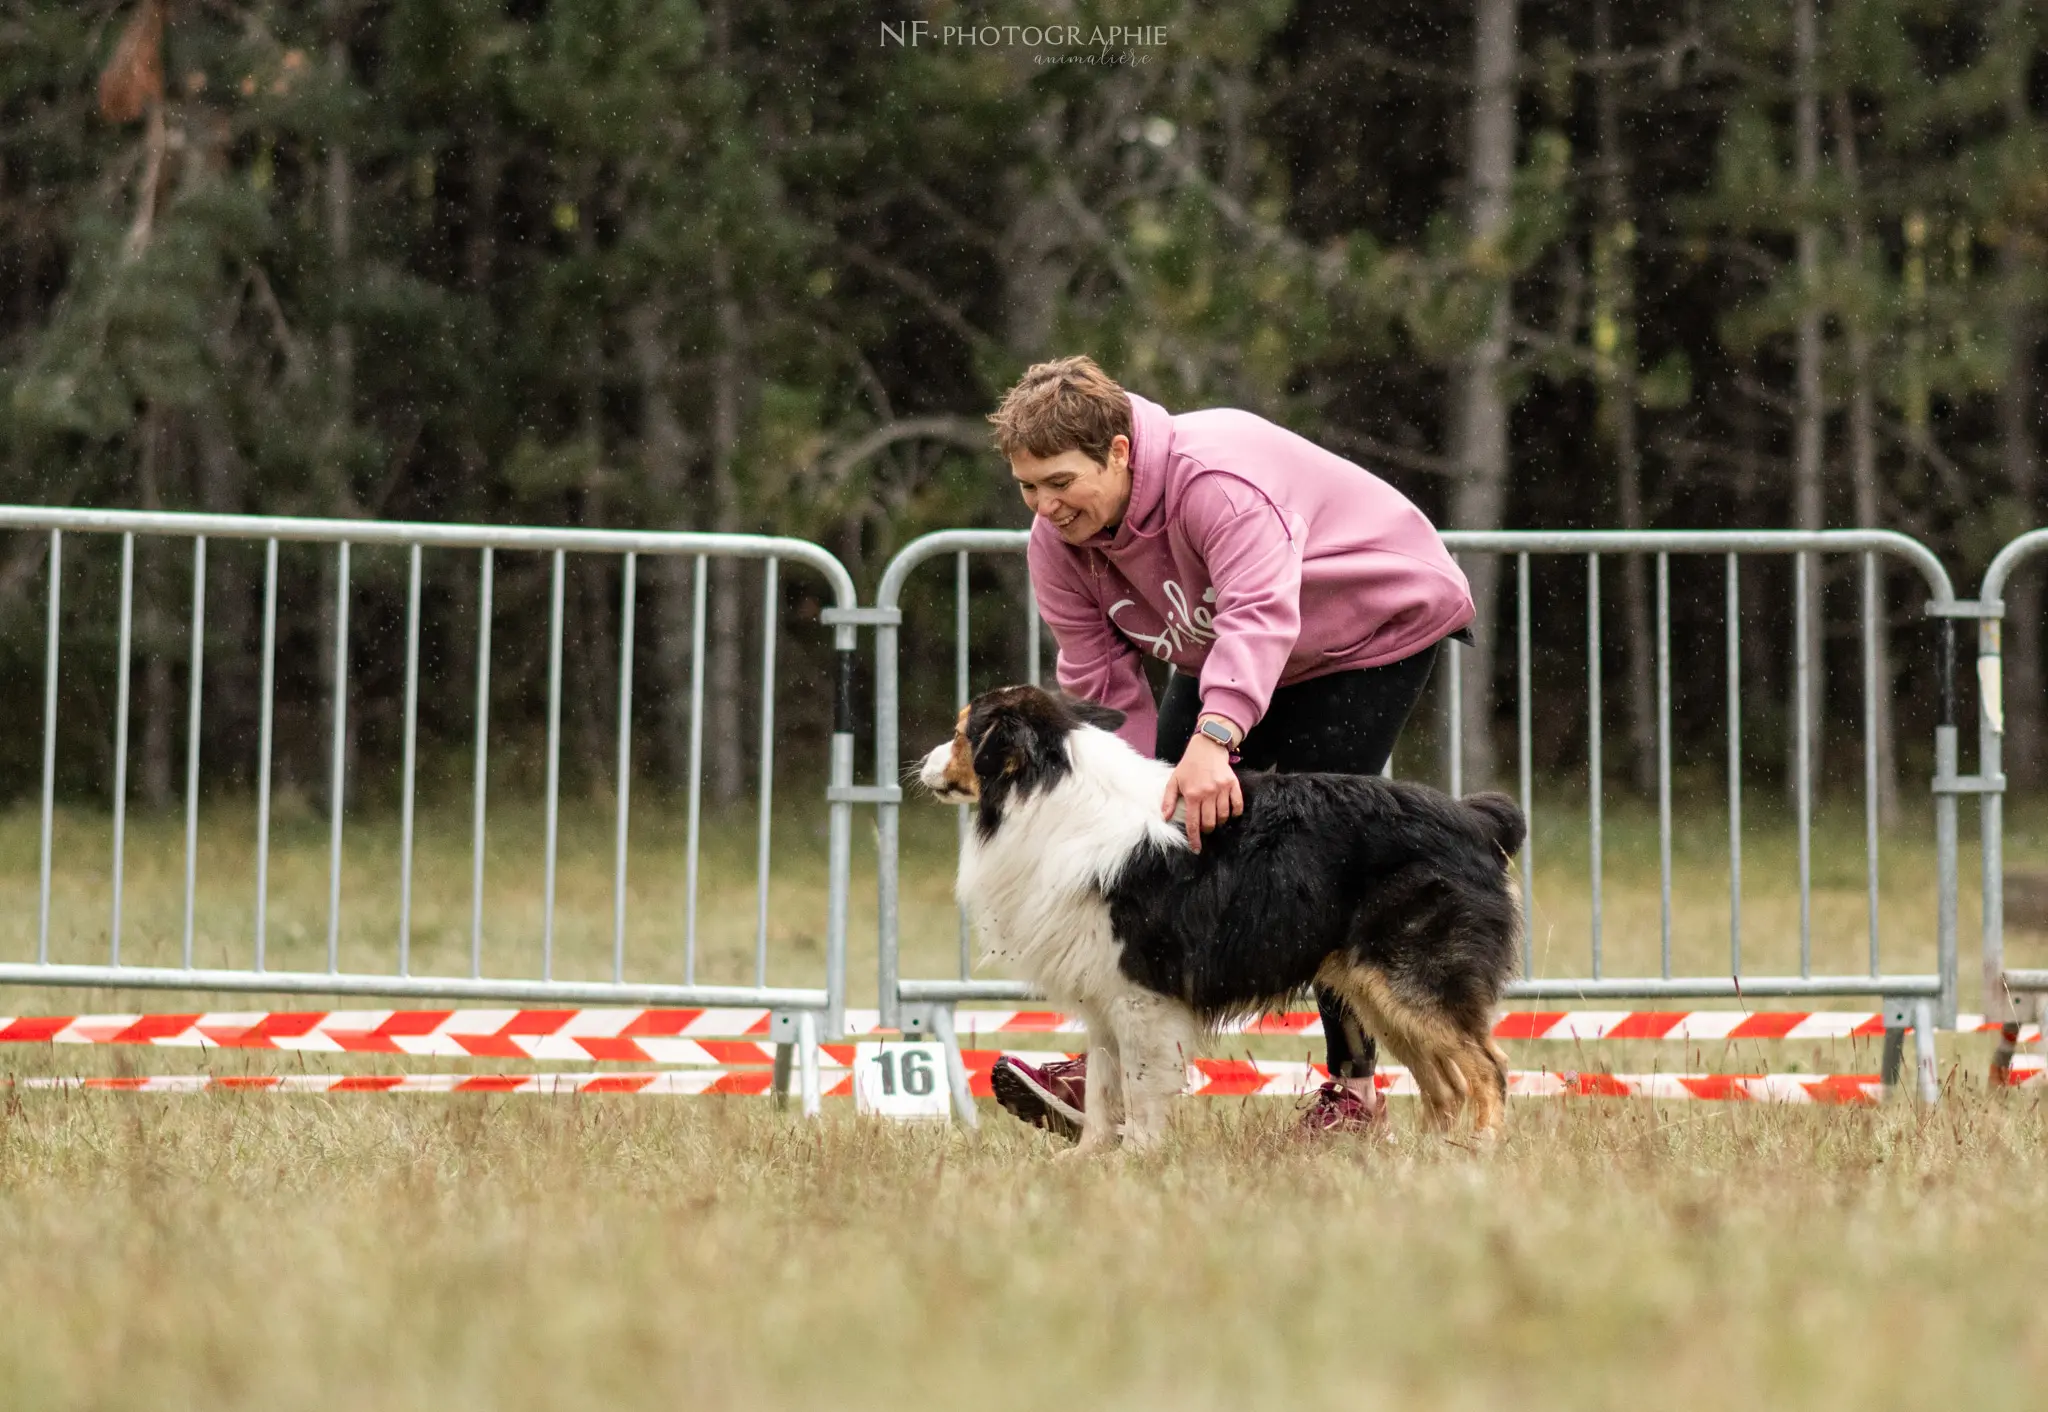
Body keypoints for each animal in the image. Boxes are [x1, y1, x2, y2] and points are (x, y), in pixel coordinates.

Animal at [917, 684, 1523, 1155]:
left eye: (963, 733)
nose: (919, 765)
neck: (1051, 793)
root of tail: (1475, 818)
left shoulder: (1142, 995)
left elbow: (1139, 1085)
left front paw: (1135, 1157)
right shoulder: (1103, 990)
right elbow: (1103, 1088)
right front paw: (1086, 1159)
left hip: (1416, 979)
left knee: (1488, 1067)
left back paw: (1481, 1150)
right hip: (1377, 989)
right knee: (1445, 1084)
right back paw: (1429, 1158)